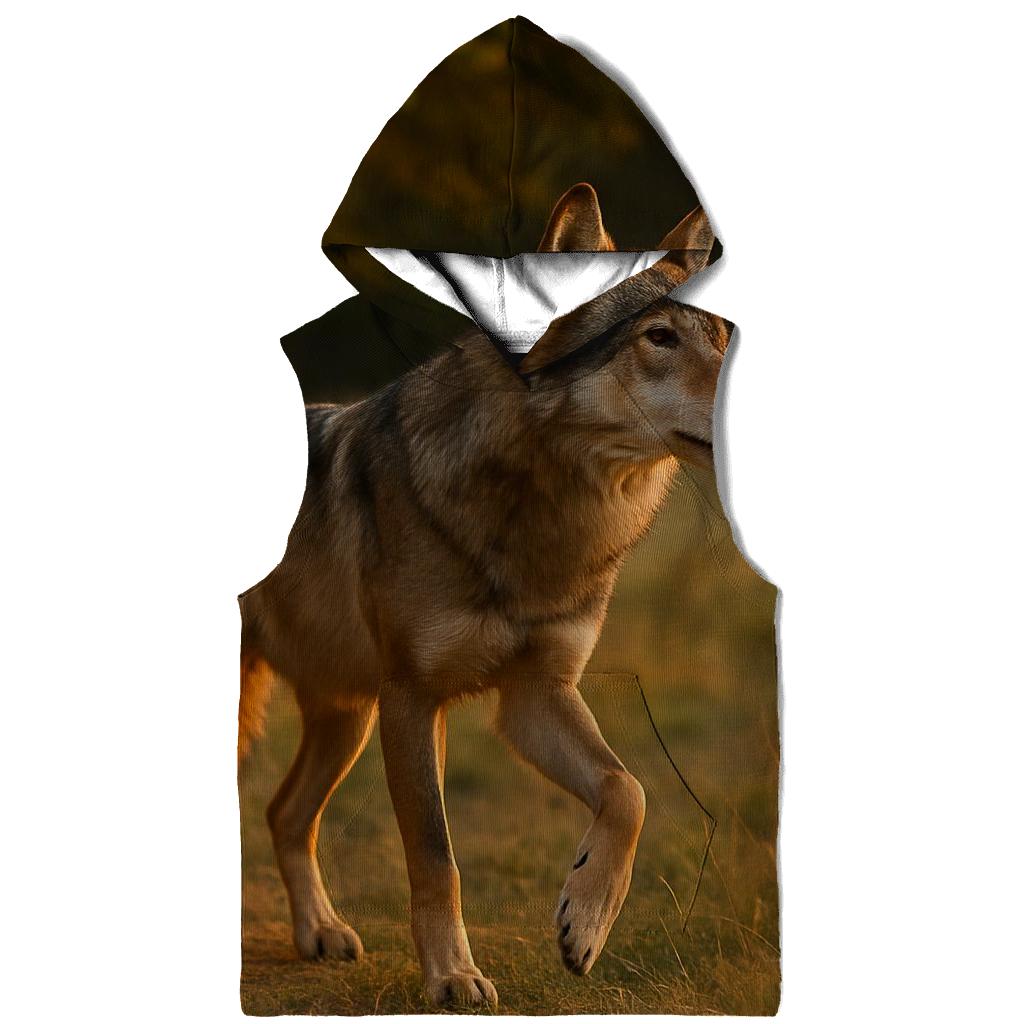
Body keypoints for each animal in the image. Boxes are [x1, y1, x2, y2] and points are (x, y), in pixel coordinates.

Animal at [239, 183, 732, 1006]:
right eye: (659, 338)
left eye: (723, 334)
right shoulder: (413, 700)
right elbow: (437, 859)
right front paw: (453, 976)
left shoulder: (533, 693)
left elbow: (628, 791)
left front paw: (584, 926)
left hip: (345, 717)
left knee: (283, 813)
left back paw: (321, 933)